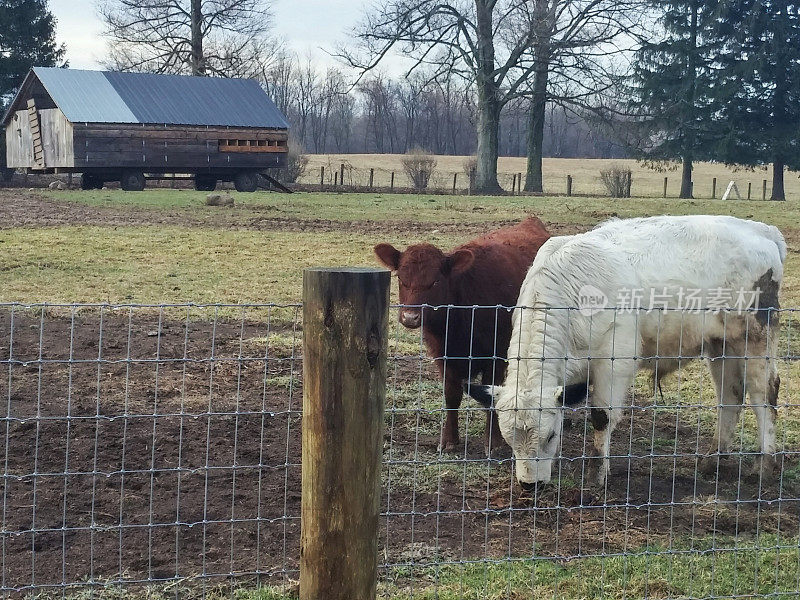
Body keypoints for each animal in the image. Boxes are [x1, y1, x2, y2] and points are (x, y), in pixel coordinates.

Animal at [376, 217, 552, 454]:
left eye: (435, 281)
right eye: (401, 278)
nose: (410, 317)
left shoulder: (496, 355)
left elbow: (490, 396)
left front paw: (492, 442)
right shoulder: (443, 356)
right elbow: (451, 395)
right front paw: (449, 439)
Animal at [468, 218, 788, 490]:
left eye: (551, 436)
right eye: (509, 440)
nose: (529, 485)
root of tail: (764, 231)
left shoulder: (614, 363)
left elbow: (601, 417)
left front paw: (597, 475)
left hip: (756, 340)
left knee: (764, 394)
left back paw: (764, 466)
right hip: (722, 346)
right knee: (730, 395)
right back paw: (715, 460)